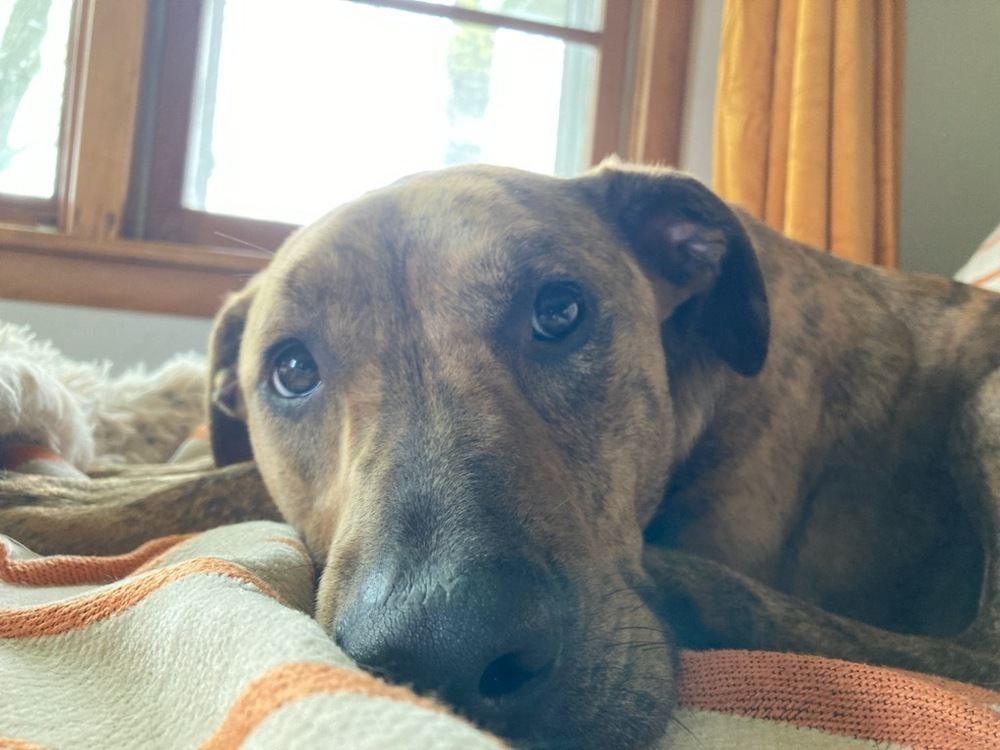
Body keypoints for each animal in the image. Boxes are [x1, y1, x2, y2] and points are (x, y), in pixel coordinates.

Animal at [1, 163, 1000, 748]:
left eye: (560, 310)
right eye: (290, 370)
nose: (444, 657)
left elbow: (231, 480)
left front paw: (65, 503)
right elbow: (208, 471)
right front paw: (91, 474)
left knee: (971, 655)